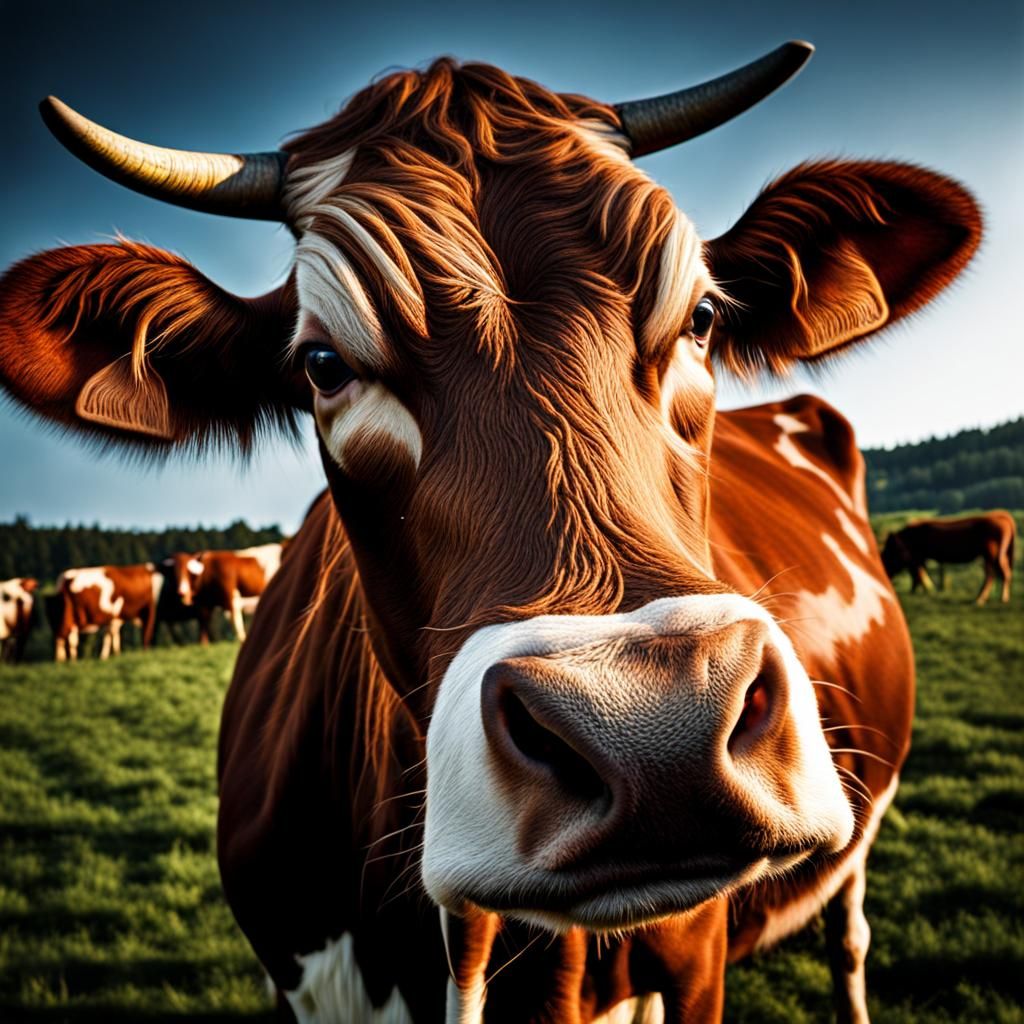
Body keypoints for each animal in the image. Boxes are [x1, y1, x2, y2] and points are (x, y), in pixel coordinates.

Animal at [882, 511, 1016, 605]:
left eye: (888, 553)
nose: (885, 572)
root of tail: (1001, 517)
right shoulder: (918, 558)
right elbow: (919, 574)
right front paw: (920, 591)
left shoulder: (917, 557)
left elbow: (918, 574)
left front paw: (923, 591)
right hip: (999, 554)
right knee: (1004, 572)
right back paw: (1002, 598)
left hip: (991, 553)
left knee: (992, 574)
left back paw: (980, 599)